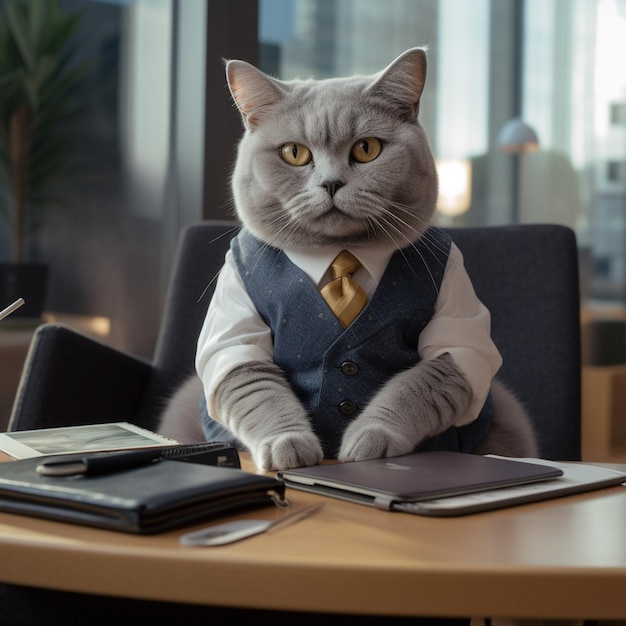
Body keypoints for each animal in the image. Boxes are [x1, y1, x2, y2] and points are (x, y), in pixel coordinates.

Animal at [157, 47, 536, 468]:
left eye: (366, 149)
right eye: (294, 153)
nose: (331, 183)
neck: (339, 253)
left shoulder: (458, 334)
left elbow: (417, 386)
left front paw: (368, 441)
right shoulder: (233, 326)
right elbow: (256, 390)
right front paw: (289, 445)